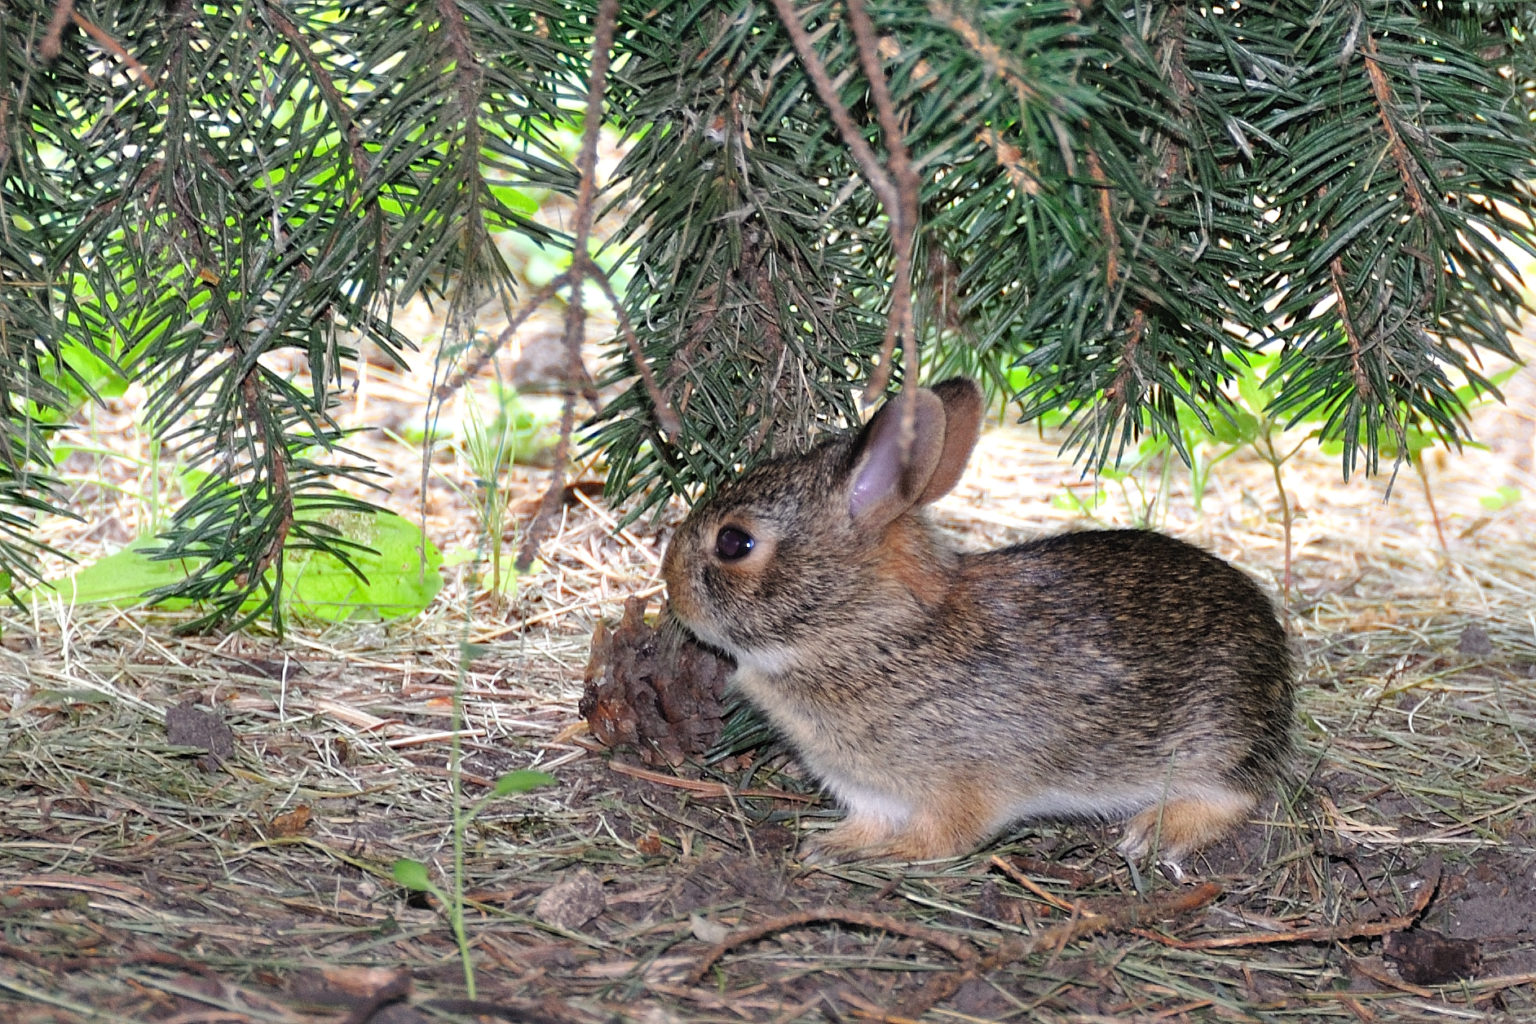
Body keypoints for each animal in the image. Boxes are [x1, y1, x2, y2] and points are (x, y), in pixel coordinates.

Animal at [660, 376, 1296, 865]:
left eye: (734, 542)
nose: (669, 586)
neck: (864, 632)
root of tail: (1275, 654)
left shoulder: (964, 782)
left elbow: (943, 834)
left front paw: (892, 853)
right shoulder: (867, 790)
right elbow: (867, 821)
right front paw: (836, 846)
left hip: (1211, 744)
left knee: (1237, 795)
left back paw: (1151, 833)